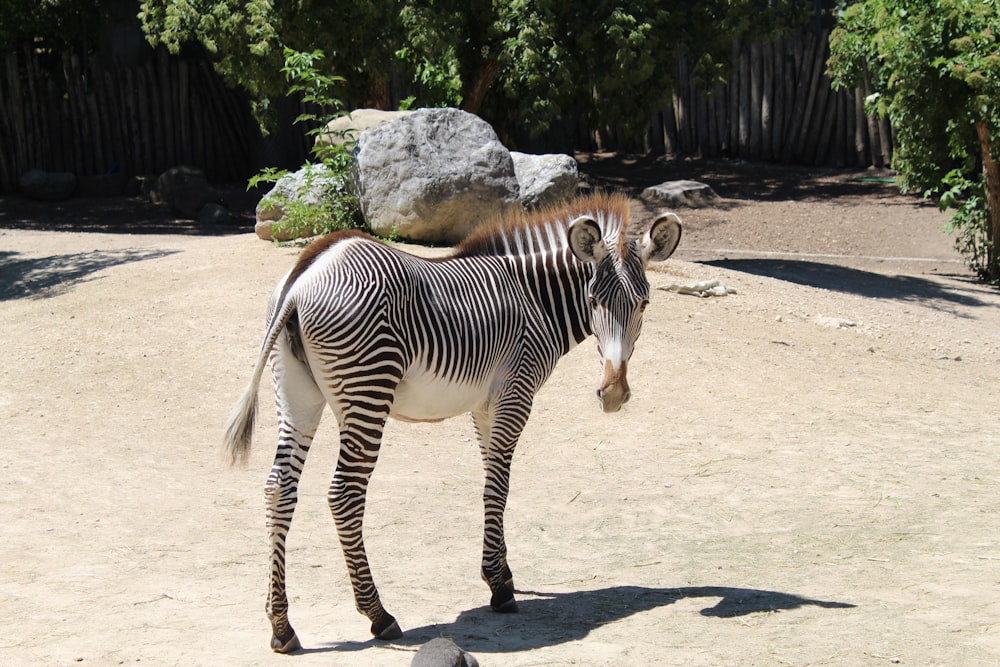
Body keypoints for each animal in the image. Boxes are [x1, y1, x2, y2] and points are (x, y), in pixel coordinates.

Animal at [225, 192, 680, 652]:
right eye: (593, 302)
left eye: (643, 303)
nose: (614, 394)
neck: (534, 299)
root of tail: (306, 272)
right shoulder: (516, 393)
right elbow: (498, 487)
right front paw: (499, 587)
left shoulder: (484, 405)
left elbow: (491, 479)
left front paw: (502, 570)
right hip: (367, 391)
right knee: (344, 495)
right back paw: (378, 614)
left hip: (296, 393)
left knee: (278, 489)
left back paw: (282, 626)